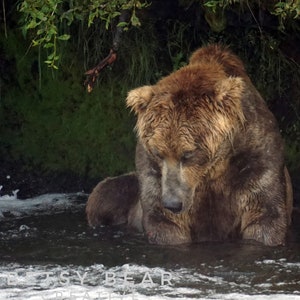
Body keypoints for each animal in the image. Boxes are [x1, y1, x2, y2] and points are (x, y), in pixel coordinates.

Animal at [86, 44, 292, 246]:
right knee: (104, 193)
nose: (172, 203)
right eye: (159, 153)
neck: (213, 170)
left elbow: (264, 214)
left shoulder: (254, 155)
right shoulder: (153, 173)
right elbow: (165, 221)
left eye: (188, 154)